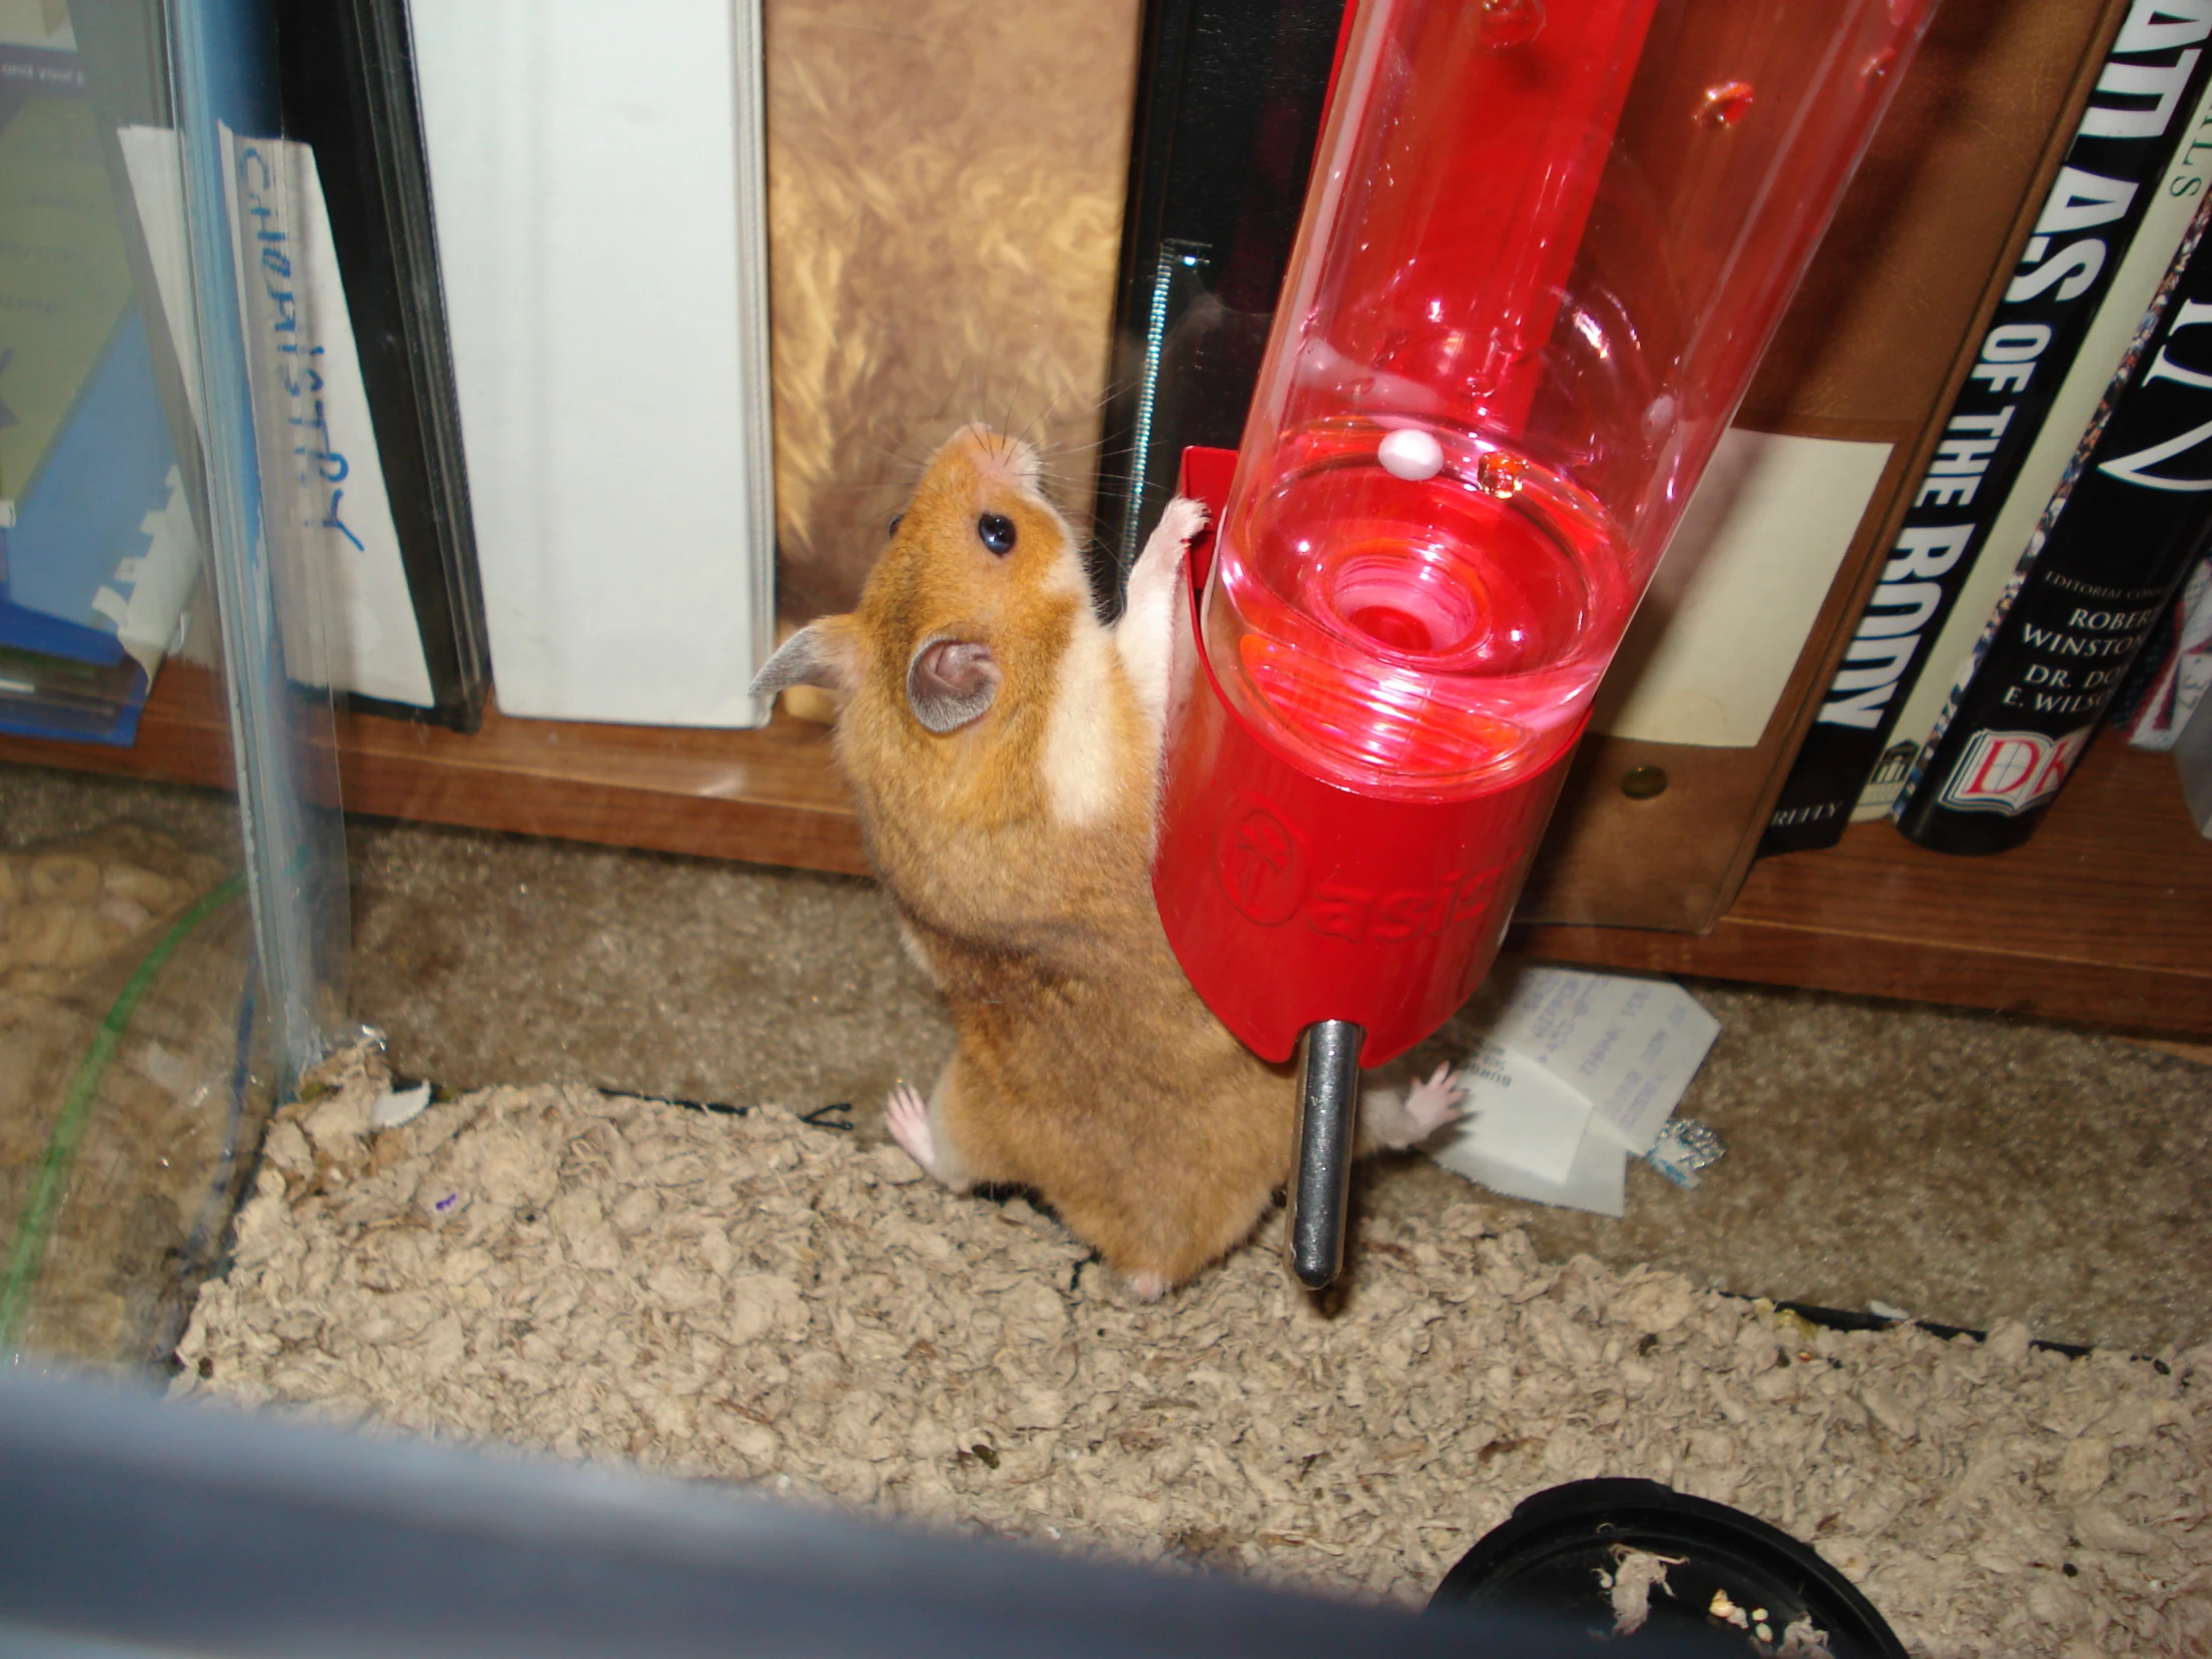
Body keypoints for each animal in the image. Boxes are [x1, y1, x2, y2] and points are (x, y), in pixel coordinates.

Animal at [752, 424, 1459, 1301]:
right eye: (997, 533)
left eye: (891, 522)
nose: (982, 431)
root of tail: (1150, 1256)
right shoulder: (1125, 699)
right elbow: (1143, 605)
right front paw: (1183, 519)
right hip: (1312, 1104)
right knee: (1389, 1132)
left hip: (991, 1106)